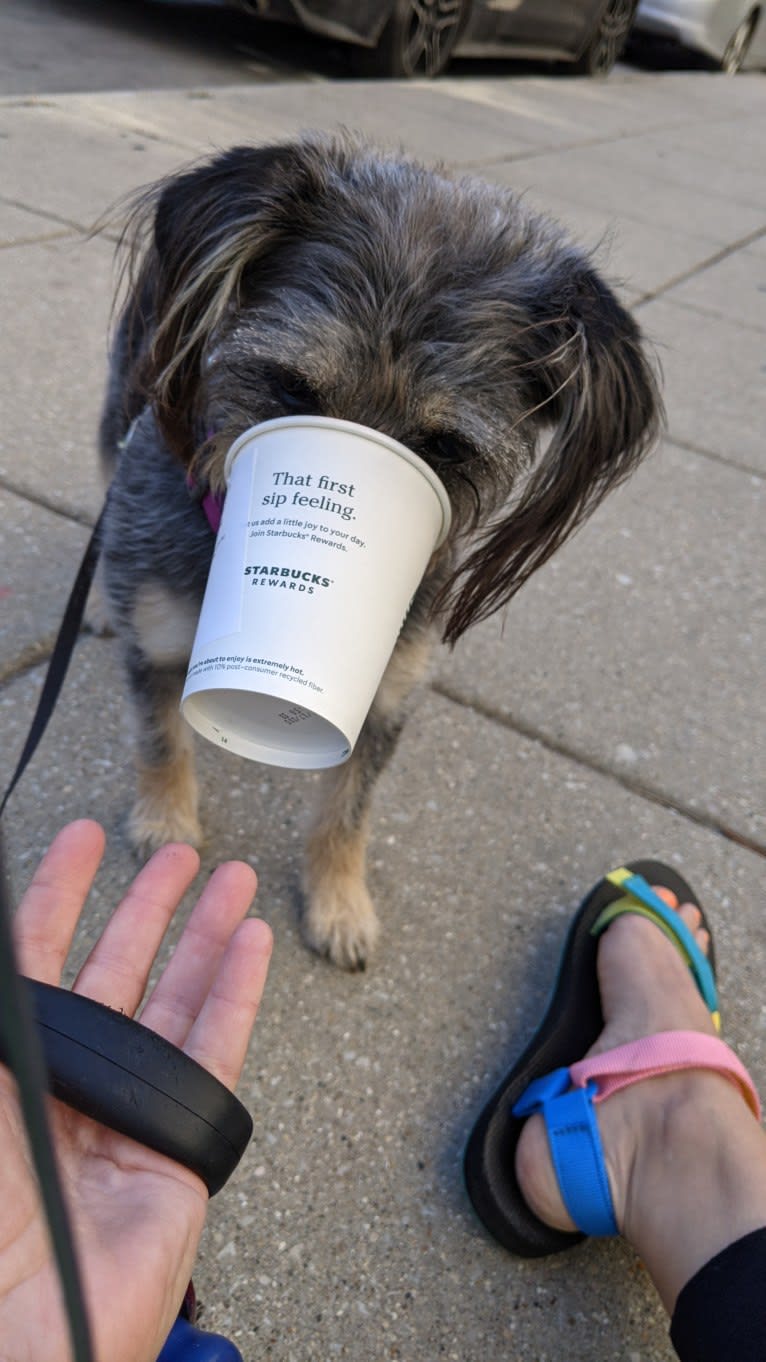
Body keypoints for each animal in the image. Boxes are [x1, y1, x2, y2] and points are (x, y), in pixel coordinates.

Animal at [98, 135, 659, 969]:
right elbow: (162, 740)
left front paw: (339, 904)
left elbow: (348, 810)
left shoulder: (385, 696)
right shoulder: (160, 639)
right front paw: (166, 826)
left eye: (444, 448)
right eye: (291, 390)